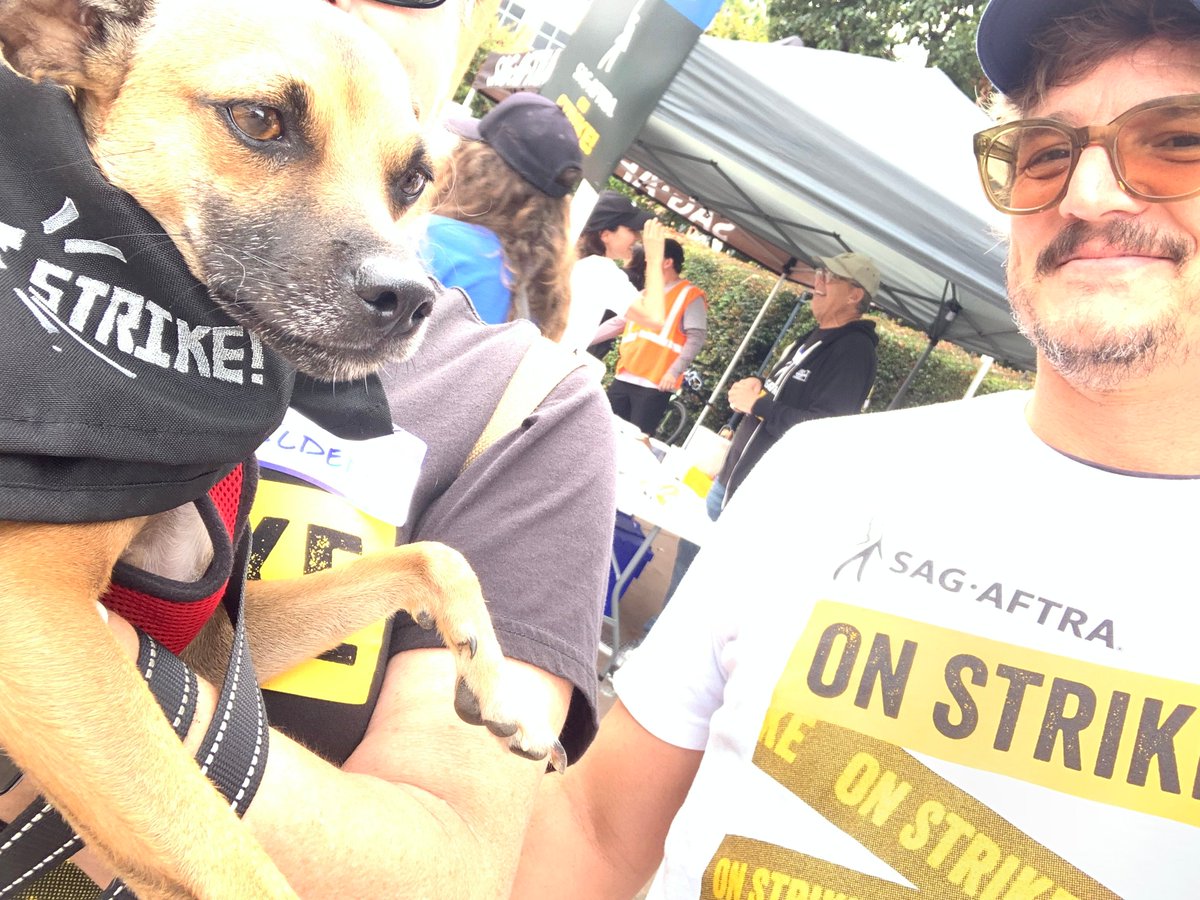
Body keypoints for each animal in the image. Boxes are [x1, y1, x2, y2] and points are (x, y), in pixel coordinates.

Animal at [0, 1, 561, 900]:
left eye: (415, 180)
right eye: (260, 120)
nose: (413, 297)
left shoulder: (212, 640)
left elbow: (436, 557)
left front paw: (493, 676)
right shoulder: (32, 610)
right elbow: (235, 861)